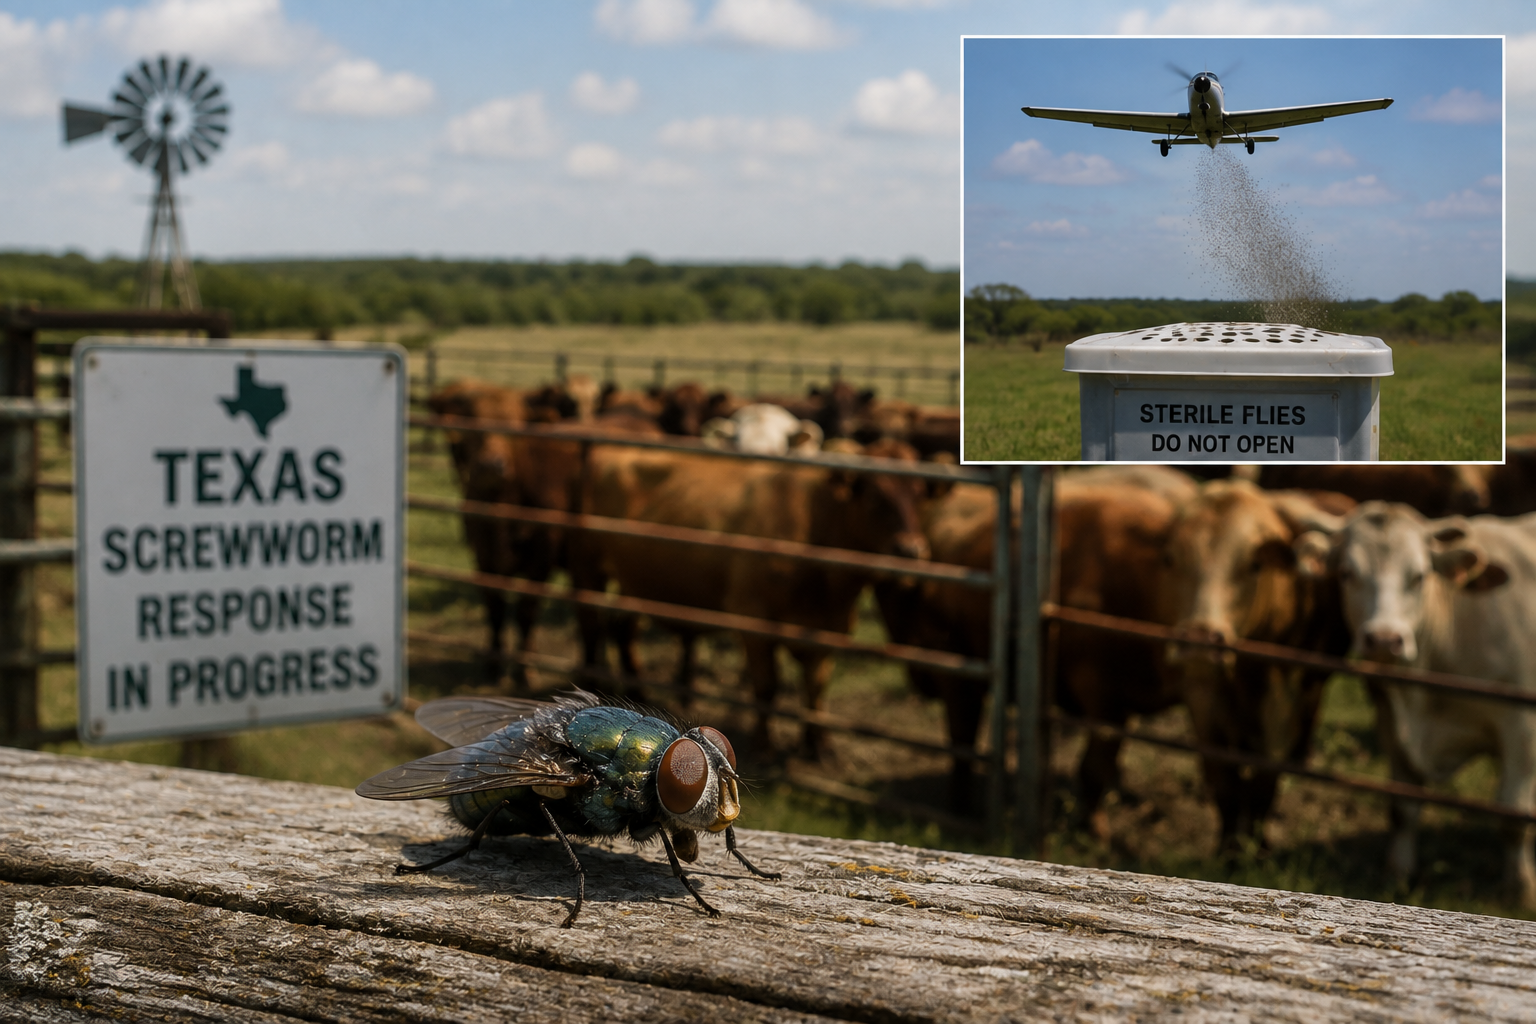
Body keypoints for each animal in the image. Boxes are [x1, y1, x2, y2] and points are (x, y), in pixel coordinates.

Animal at [580, 438, 933, 756]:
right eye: (875, 496)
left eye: (919, 495)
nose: (911, 549)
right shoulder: (754, 623)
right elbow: (766, 687)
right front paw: (765, 744)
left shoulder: (829, 628)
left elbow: (816, 688)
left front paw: (819, 745)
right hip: (592, 568)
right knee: (592, 624)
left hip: (635, 583)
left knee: (623, 629)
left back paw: (638, 695)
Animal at [1160, 479, 1353, 847]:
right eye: (1172, 559)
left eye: (1254, 565)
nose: (1200, 640)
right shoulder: (1202, 695)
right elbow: (1224, 778)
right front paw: (1227, 846)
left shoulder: (1283, 701)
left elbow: (1265, 783)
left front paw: (1256, 845)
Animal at [1330, 503, 1536, 908]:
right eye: (1347, 573)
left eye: (1419, 576)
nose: (1384, 639)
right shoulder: (1391, 721)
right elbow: (1402, 807)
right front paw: (1398, 873)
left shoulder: (1521, 726)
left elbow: (1513, 813)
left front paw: (1520, 891)